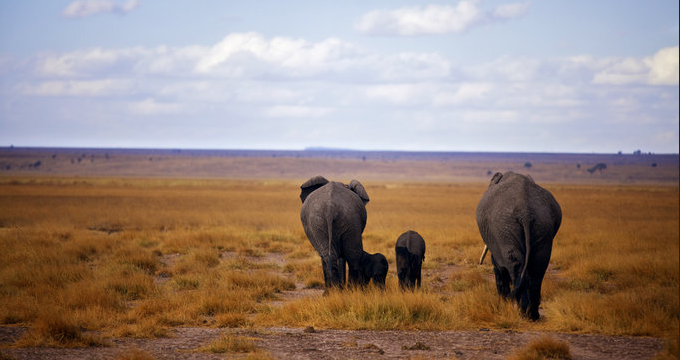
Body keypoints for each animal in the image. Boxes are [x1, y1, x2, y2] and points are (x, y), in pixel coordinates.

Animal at [476, 172, 560, 320]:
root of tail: (525, 213)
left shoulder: (496, 238)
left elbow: (498, 266)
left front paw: (503, 304)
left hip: (505, 228)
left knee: (515, 265)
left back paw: (522, 313)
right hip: (542, 226)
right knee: (538, 266)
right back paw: (532, 316)